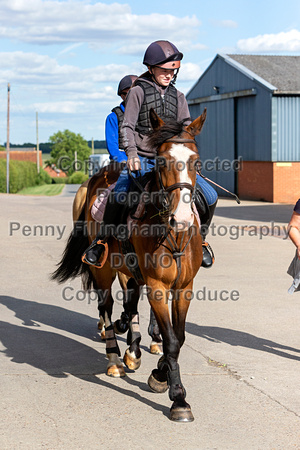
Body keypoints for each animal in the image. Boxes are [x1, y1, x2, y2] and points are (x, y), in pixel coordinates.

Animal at [52, 108, 206, 422]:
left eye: (196, 161)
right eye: (162, 160)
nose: (182, 218)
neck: (173, 234)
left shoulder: (184, 287)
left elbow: (179, 336)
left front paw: (160, 374)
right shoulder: (157, 286)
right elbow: (171, 339)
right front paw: (177, 397)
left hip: (128, 271)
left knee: (129, 304)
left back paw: (131, 352)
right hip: (103, 269)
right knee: (107, 307)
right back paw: (115, 359)